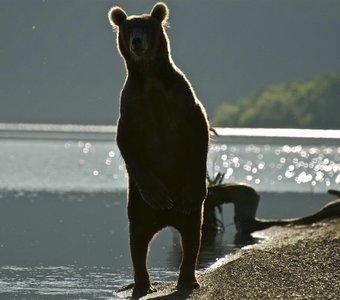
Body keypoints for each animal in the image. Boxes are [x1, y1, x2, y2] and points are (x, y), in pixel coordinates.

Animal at [109, 2, 210, 298]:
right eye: (129, 27)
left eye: (147, 27)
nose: (137, 41)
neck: (151, 78)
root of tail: (166, 219)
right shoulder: (132, 107)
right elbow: (127, 143)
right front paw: (158, 193)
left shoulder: (181, 99)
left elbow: (199, 130)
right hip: (138, 203)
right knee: (138, 239)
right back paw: (143, 283)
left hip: (187, 201)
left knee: (192, 234)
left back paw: (187, 279)